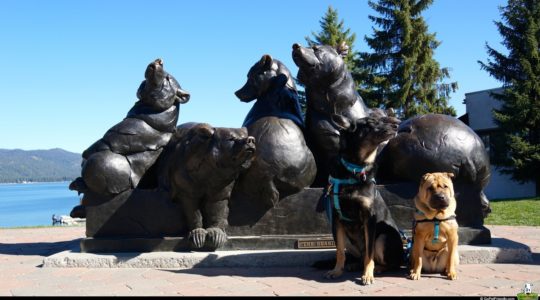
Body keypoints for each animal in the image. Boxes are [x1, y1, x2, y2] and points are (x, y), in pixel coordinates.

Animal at [322, 113, 402, 284]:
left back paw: (378, 269)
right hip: (348, 239)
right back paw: (354, 265)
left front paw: (368, 274)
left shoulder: (369, 219)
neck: (354, 169)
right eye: (371, 122)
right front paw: (336, 270)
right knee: (359, 255)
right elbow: (340, 252)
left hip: (383, 238)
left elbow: (369, 254)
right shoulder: (337, 220)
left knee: (391, 263)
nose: (397, 125)